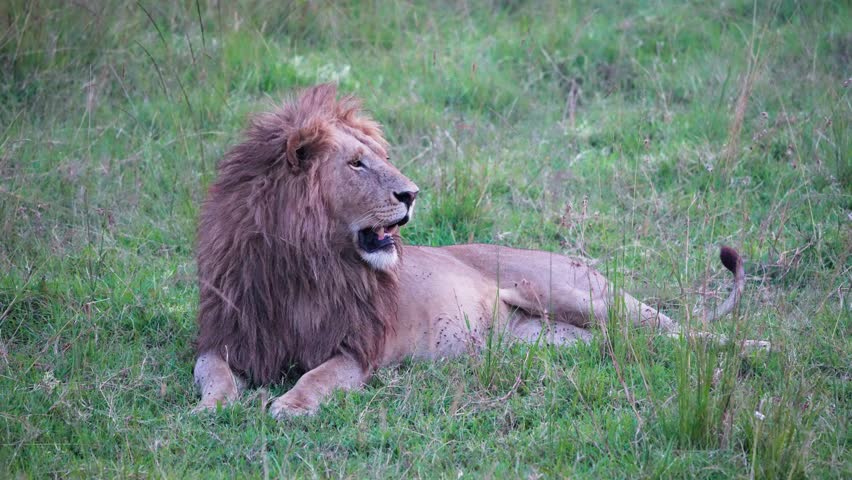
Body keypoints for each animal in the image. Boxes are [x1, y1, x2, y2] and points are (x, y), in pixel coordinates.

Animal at [193, 84, 769, 417]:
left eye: (379, 156)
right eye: (357, 164)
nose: (411, 194)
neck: (303, 265)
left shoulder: (360, 349)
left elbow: (318, 375)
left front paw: (290, 405)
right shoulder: (227, 333)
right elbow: (214, 372)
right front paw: (213, 407)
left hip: (575, 294)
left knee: (683, 332)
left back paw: (762, 348)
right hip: (553, 339)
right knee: (636, 344)